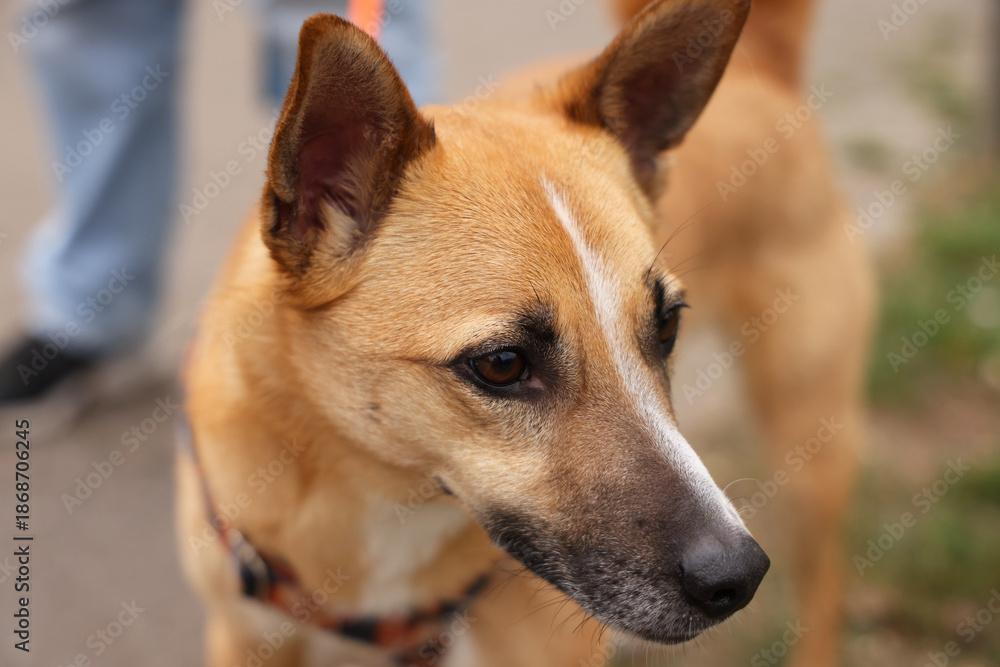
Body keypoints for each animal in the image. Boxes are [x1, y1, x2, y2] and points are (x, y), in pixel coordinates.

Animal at [177, 0, 872, 665]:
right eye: (502, 364)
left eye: (668, 324)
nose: (737, 577)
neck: (387, 497)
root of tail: (761, 68)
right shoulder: (245, 639)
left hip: (811, 441)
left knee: (826, 585)